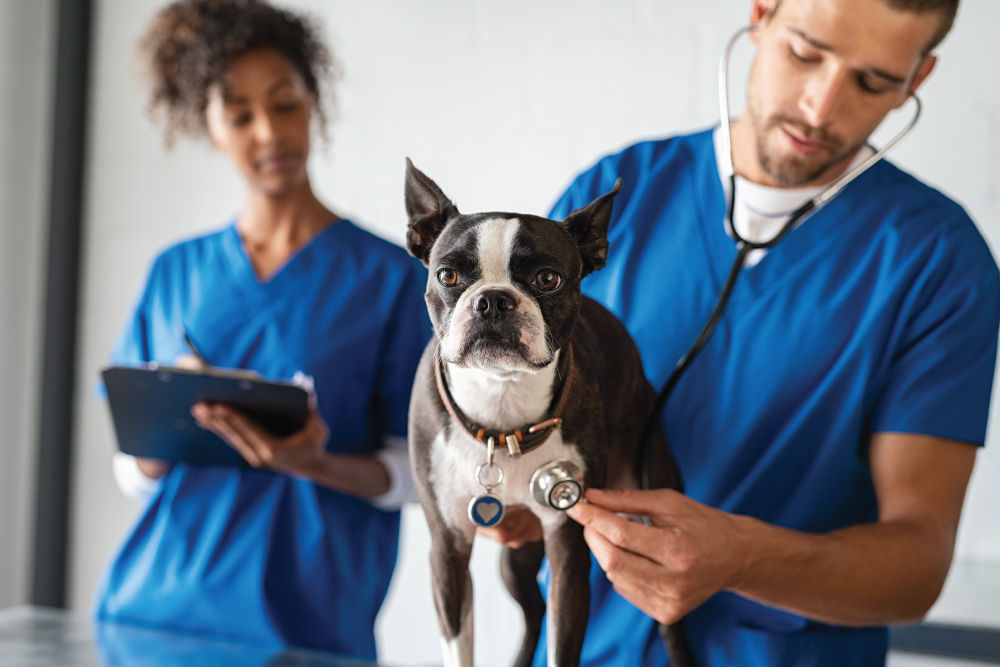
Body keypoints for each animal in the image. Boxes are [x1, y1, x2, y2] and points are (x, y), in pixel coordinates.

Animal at [402, 162, 692, 667]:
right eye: (447, 275)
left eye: (547, 280)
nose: (493, 299)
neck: (502, 410)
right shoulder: (448, 548)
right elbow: (460, 644)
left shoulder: (567, 545)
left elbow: (563, 642)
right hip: (514, 557)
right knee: (533, 609)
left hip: (648, 503)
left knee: (666, 619)